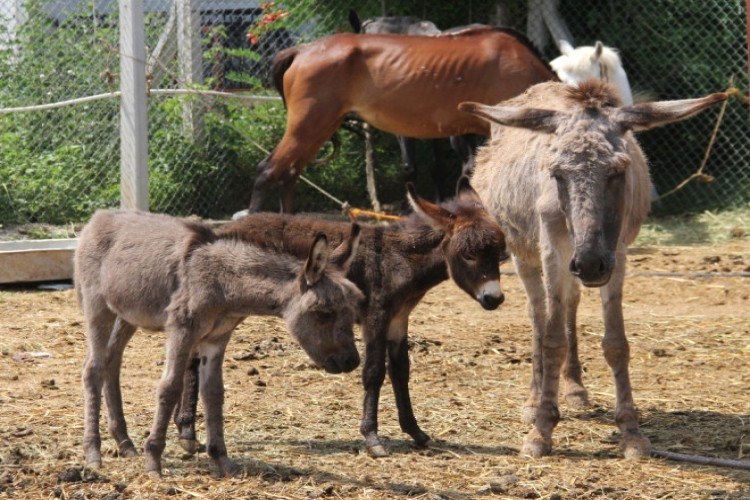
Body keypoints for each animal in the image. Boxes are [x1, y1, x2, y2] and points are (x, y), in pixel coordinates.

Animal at [77, 208, 368, 476]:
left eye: (354, 307)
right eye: (324, 313)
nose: (352, 362)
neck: (223, 282)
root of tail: (99, 216)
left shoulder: (216, 339)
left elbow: (214, 392)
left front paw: (221, 460)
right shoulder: (181, 330)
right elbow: (170, 387)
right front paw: (153, 462)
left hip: (127, 315)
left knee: (111, 362)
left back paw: (124, 443)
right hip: (98, 307)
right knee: (93, 369)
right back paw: (93, 453)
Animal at [175, 180, 512, 458]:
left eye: (498, 253)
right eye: (468, 255)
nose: (494, 299)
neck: (400, 258)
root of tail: (216, 235)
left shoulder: (398, 320)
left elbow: (401, 371)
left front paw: (416, 432)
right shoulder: (376, 317)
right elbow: (374, 372)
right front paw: (372, 439)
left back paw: (183, 429)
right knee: (192, 357)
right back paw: (187, 434)